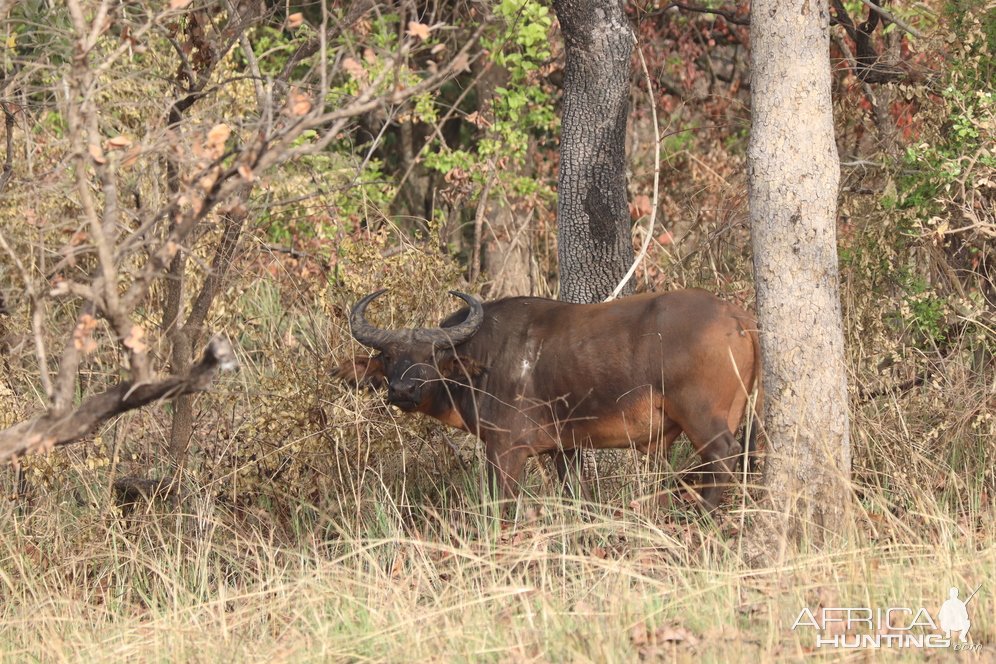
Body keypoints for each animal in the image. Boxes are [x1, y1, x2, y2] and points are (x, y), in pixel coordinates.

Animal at [334, 288, 764, 510]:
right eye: (389, 356)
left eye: (432, 356)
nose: (403, 391)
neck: (485, 360)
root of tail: (738, 318)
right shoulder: (564, 449)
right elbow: (579, 496)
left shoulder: (506, 449)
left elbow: (501, 503)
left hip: (702, 418)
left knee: (723, 455)